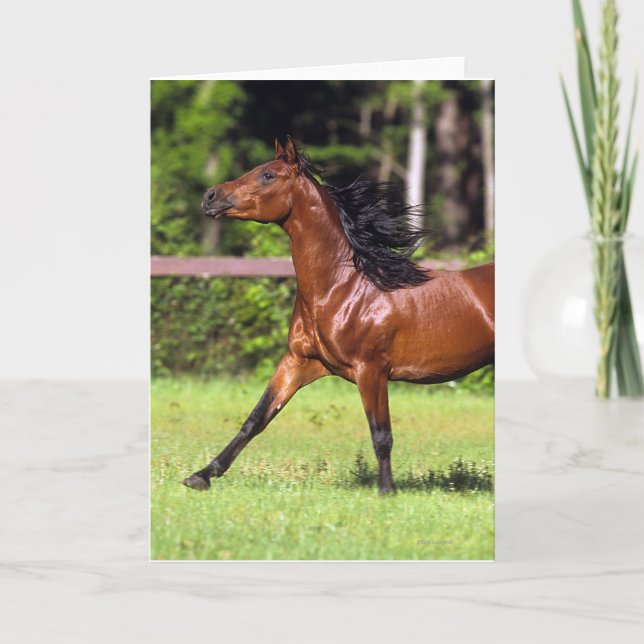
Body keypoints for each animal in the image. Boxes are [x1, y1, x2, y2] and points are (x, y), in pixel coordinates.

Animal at [183, 136, 494, 495]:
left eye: (268, 175)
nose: (210, 196)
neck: (343, 288)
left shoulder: (371, 370)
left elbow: (381, 435)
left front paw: (386, 491)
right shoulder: (299, 362)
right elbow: (255, 419)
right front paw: (201, 475)